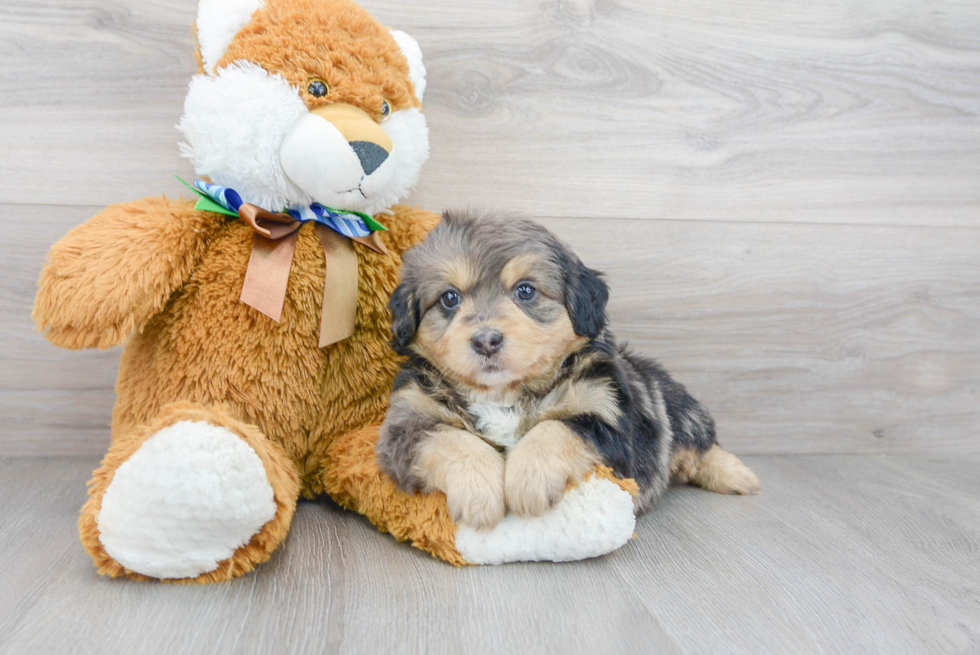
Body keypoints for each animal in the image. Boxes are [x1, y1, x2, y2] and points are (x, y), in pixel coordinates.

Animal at [376, 213, 756, 532]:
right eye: (449, 298)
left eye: (526, 290)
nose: (486, 340)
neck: (503, 393)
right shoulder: (404, 425)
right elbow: (452, 439)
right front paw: (479, 493)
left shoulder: (607, 414)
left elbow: (555, 428)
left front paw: (528, 480)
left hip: (684, 415)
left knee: (701, 447)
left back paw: (740, 476)